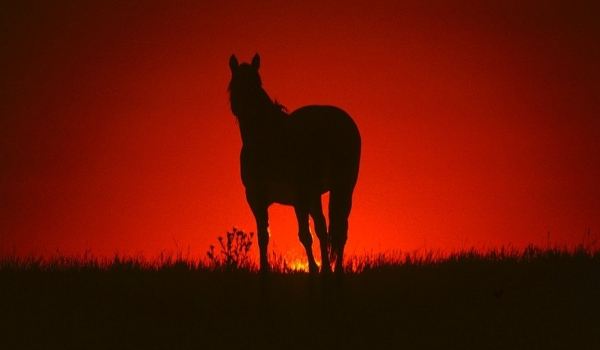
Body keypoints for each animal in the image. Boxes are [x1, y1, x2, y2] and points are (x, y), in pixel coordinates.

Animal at [229, 54, 360, 274]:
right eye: (234, 84)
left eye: (257, 83)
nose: (247, 112)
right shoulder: (258, 197)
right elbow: (265, 236)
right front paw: (265, 271)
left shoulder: (302, 193)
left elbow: (309, 233)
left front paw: (317, 269)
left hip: (339, 188)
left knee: (335, 228)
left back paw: (335, 270)